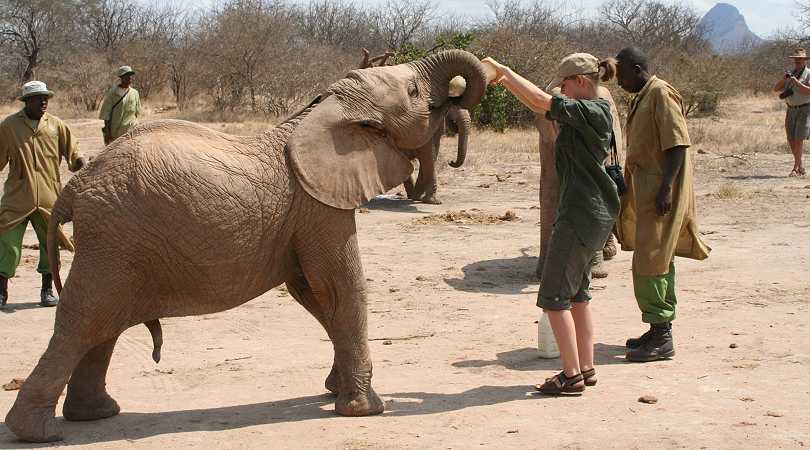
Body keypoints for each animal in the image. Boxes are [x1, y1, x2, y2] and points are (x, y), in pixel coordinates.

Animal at [356, 48, 470, 204]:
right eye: (451, 107)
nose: (451, 162)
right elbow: (428, 156)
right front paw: (431, 200)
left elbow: (430, 155)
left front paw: (421, 198)